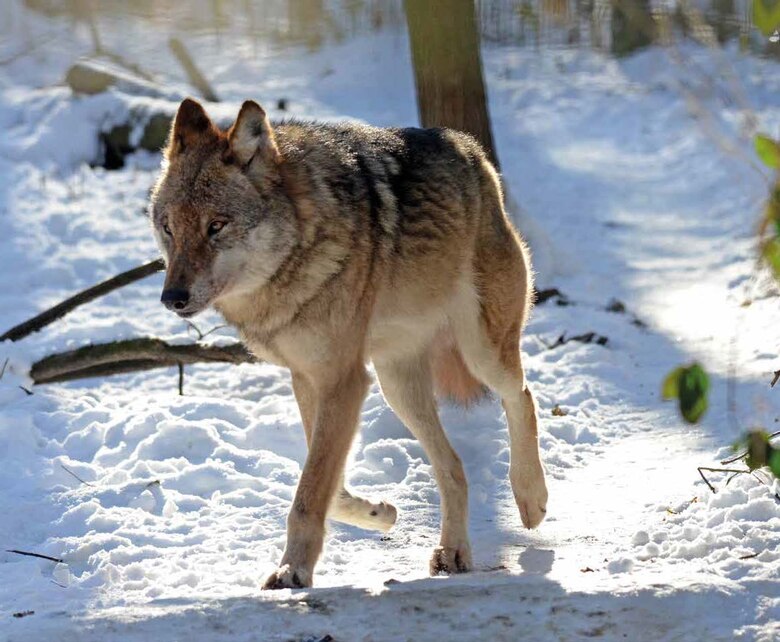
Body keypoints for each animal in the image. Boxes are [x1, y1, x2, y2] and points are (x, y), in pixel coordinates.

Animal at [149, 98, 548, 589]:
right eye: (169, 227)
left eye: (216, 226)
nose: (172, 297)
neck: (302, 241)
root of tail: (472, 151)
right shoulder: (309, 379)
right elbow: (329, 489)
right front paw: (380, 513)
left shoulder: (343, 381)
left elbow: (310, 492)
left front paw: (293, 570)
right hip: (397, 386)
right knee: (454, 467)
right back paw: (453, 552)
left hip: (482, 352)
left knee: (522, 395)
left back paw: (531, 499)